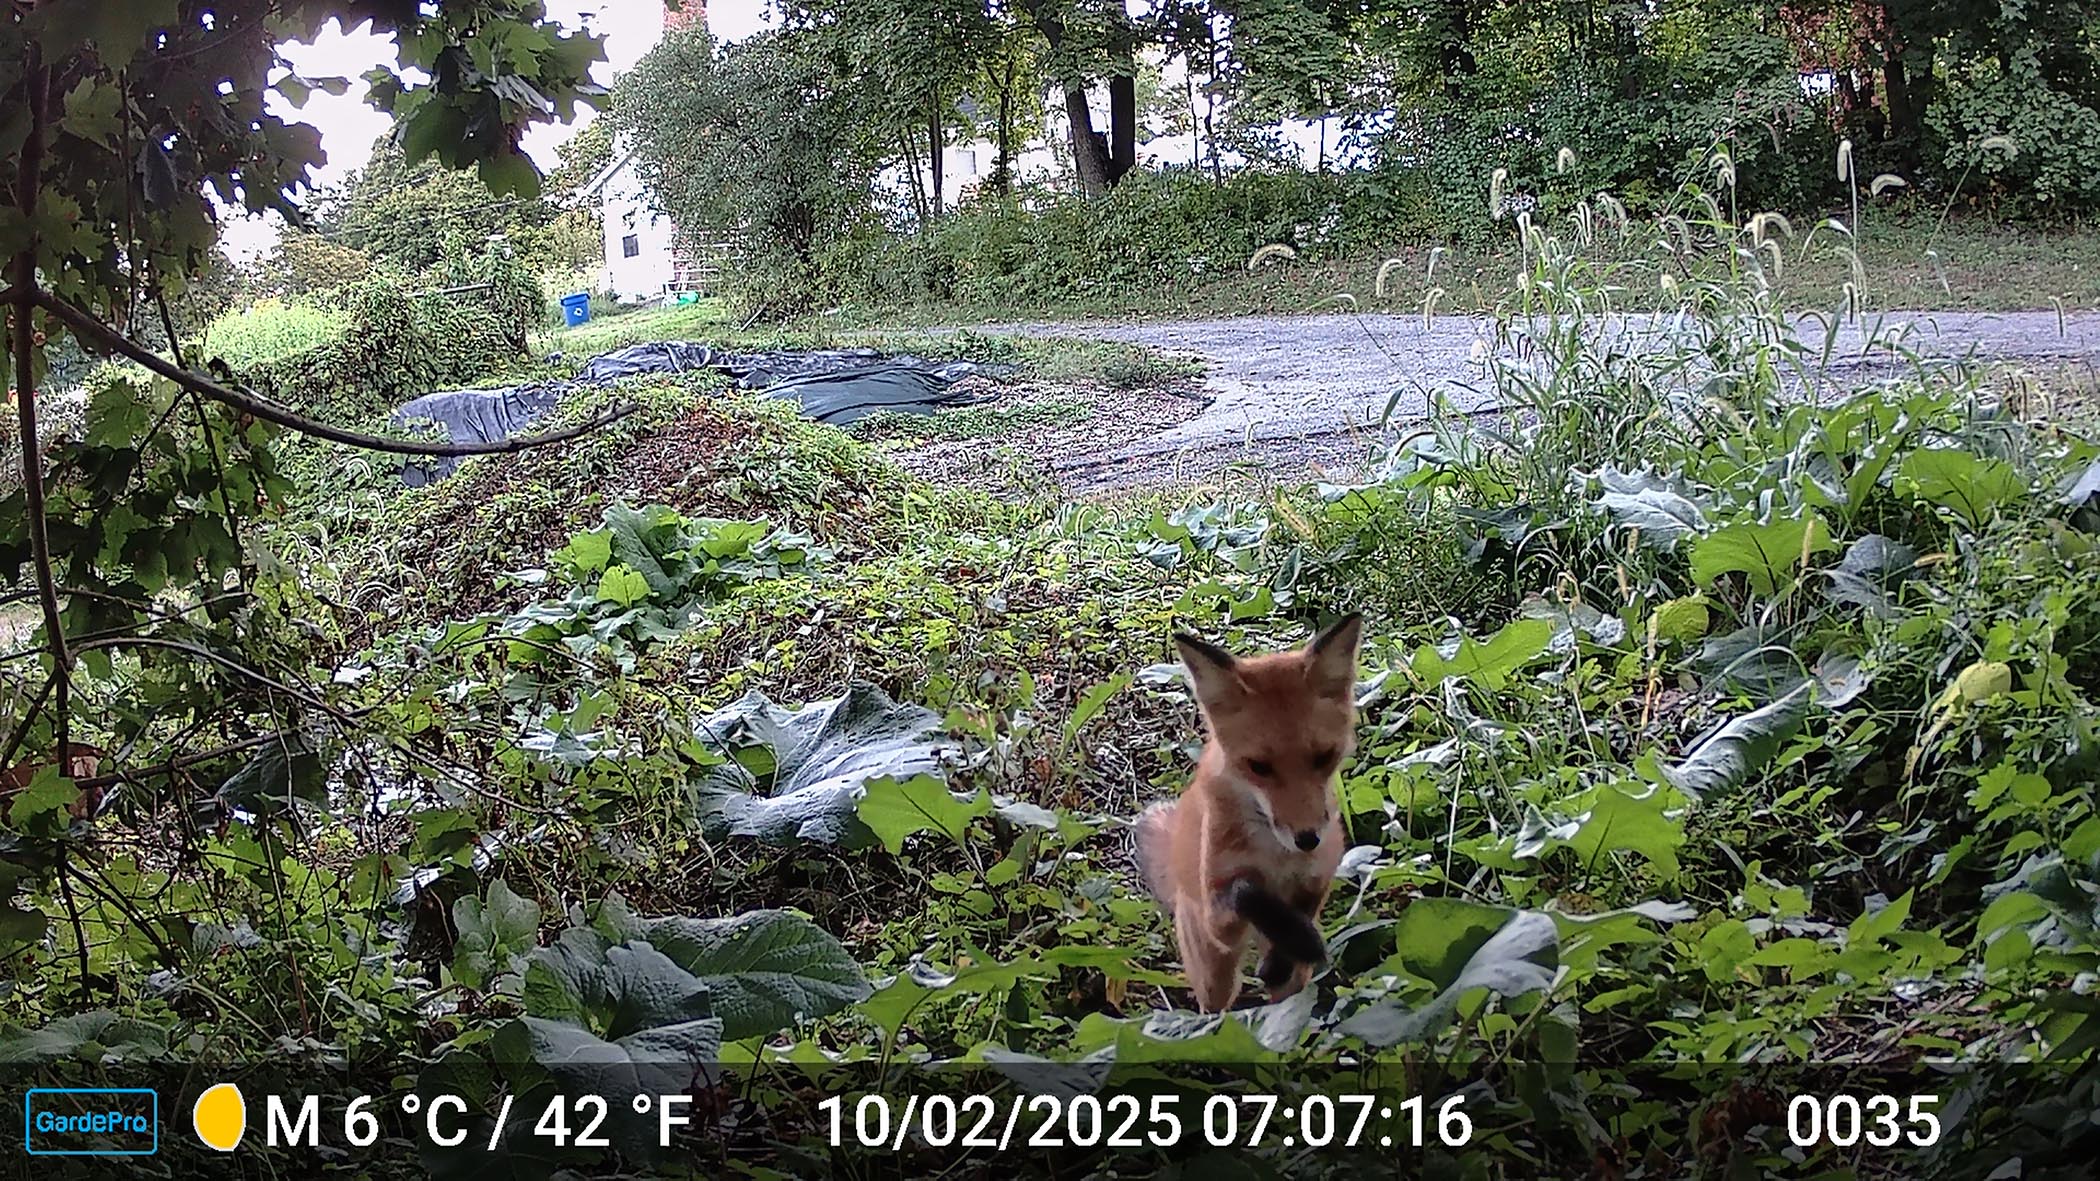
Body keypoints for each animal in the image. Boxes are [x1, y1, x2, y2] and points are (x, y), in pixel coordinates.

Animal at [1132, 613, 1364, 1013]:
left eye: (1323, 757)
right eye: (1258, 767)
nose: (1307, 839)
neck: (1276, 857)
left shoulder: (1321, 869)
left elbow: (1303, 908)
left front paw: (1289, 949)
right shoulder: (1218, 916)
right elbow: (1246, 891)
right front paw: (1295, 938)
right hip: (1214, 972)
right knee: (1215, 1008)